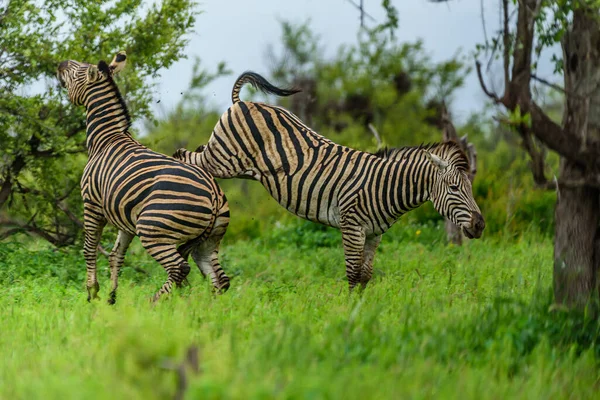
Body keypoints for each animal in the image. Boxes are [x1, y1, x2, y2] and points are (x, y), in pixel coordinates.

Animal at [57, 52, 230, 304]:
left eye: (78, 70)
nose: (60, 63)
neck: (105, 139)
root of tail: (214, 193)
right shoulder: (125, 218)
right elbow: (116, 255)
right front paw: (111, 298)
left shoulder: (91, 204)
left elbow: (89, 248)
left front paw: (92, 293)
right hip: (210, 239)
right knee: (219, 279)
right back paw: (212, 310)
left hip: (153, 229)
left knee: (179, 268)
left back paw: (152, 303)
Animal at [175, 72, 488, 290]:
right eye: (454, 188)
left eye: (470, 187)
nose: (480, 225)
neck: (384, 187)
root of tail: (243, 102)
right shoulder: (352, 227)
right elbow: (352, 274)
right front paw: (349, 312)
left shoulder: (374, 234)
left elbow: (366, 275)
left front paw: (362, 309)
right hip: (224, 159)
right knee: (184, 155)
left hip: (231, 161)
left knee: (192, 153)